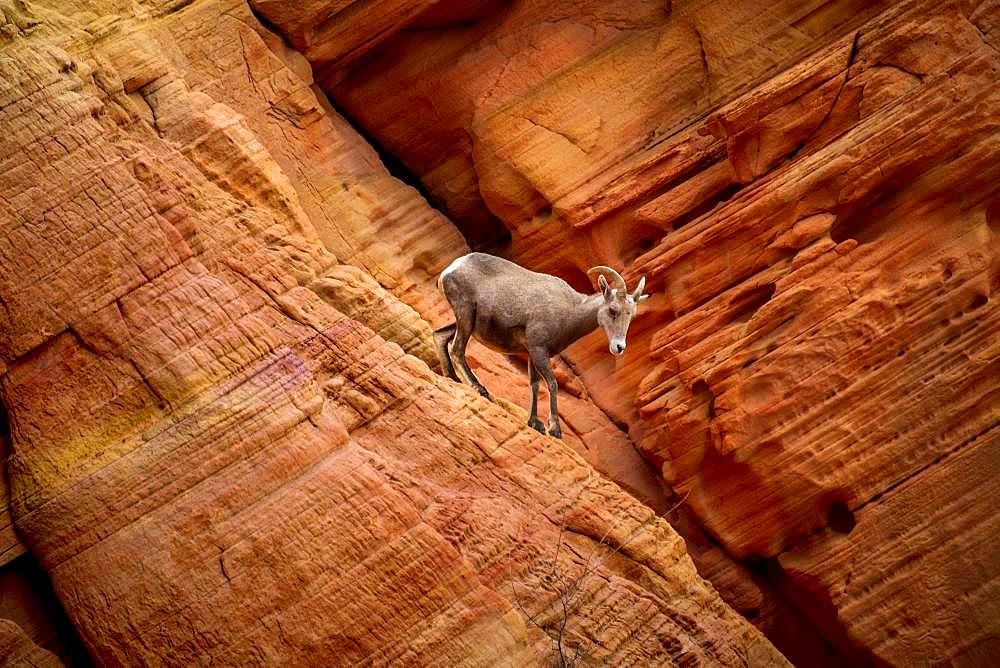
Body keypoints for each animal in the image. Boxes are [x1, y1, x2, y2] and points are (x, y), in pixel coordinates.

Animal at [436, 252, 648, 438]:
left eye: (632, 316)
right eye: (613, 310)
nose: (619, 347)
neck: (569, 312)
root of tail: (451, 268)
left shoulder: (532, 353)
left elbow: (535, 385)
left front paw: (534, 423)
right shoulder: (539, 351)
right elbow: (552, 384)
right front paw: (554, 429)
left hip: (465, 323)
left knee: (440, 336)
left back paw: (453, 378)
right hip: (466, 316)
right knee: (457, 350)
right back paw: (480, 389)